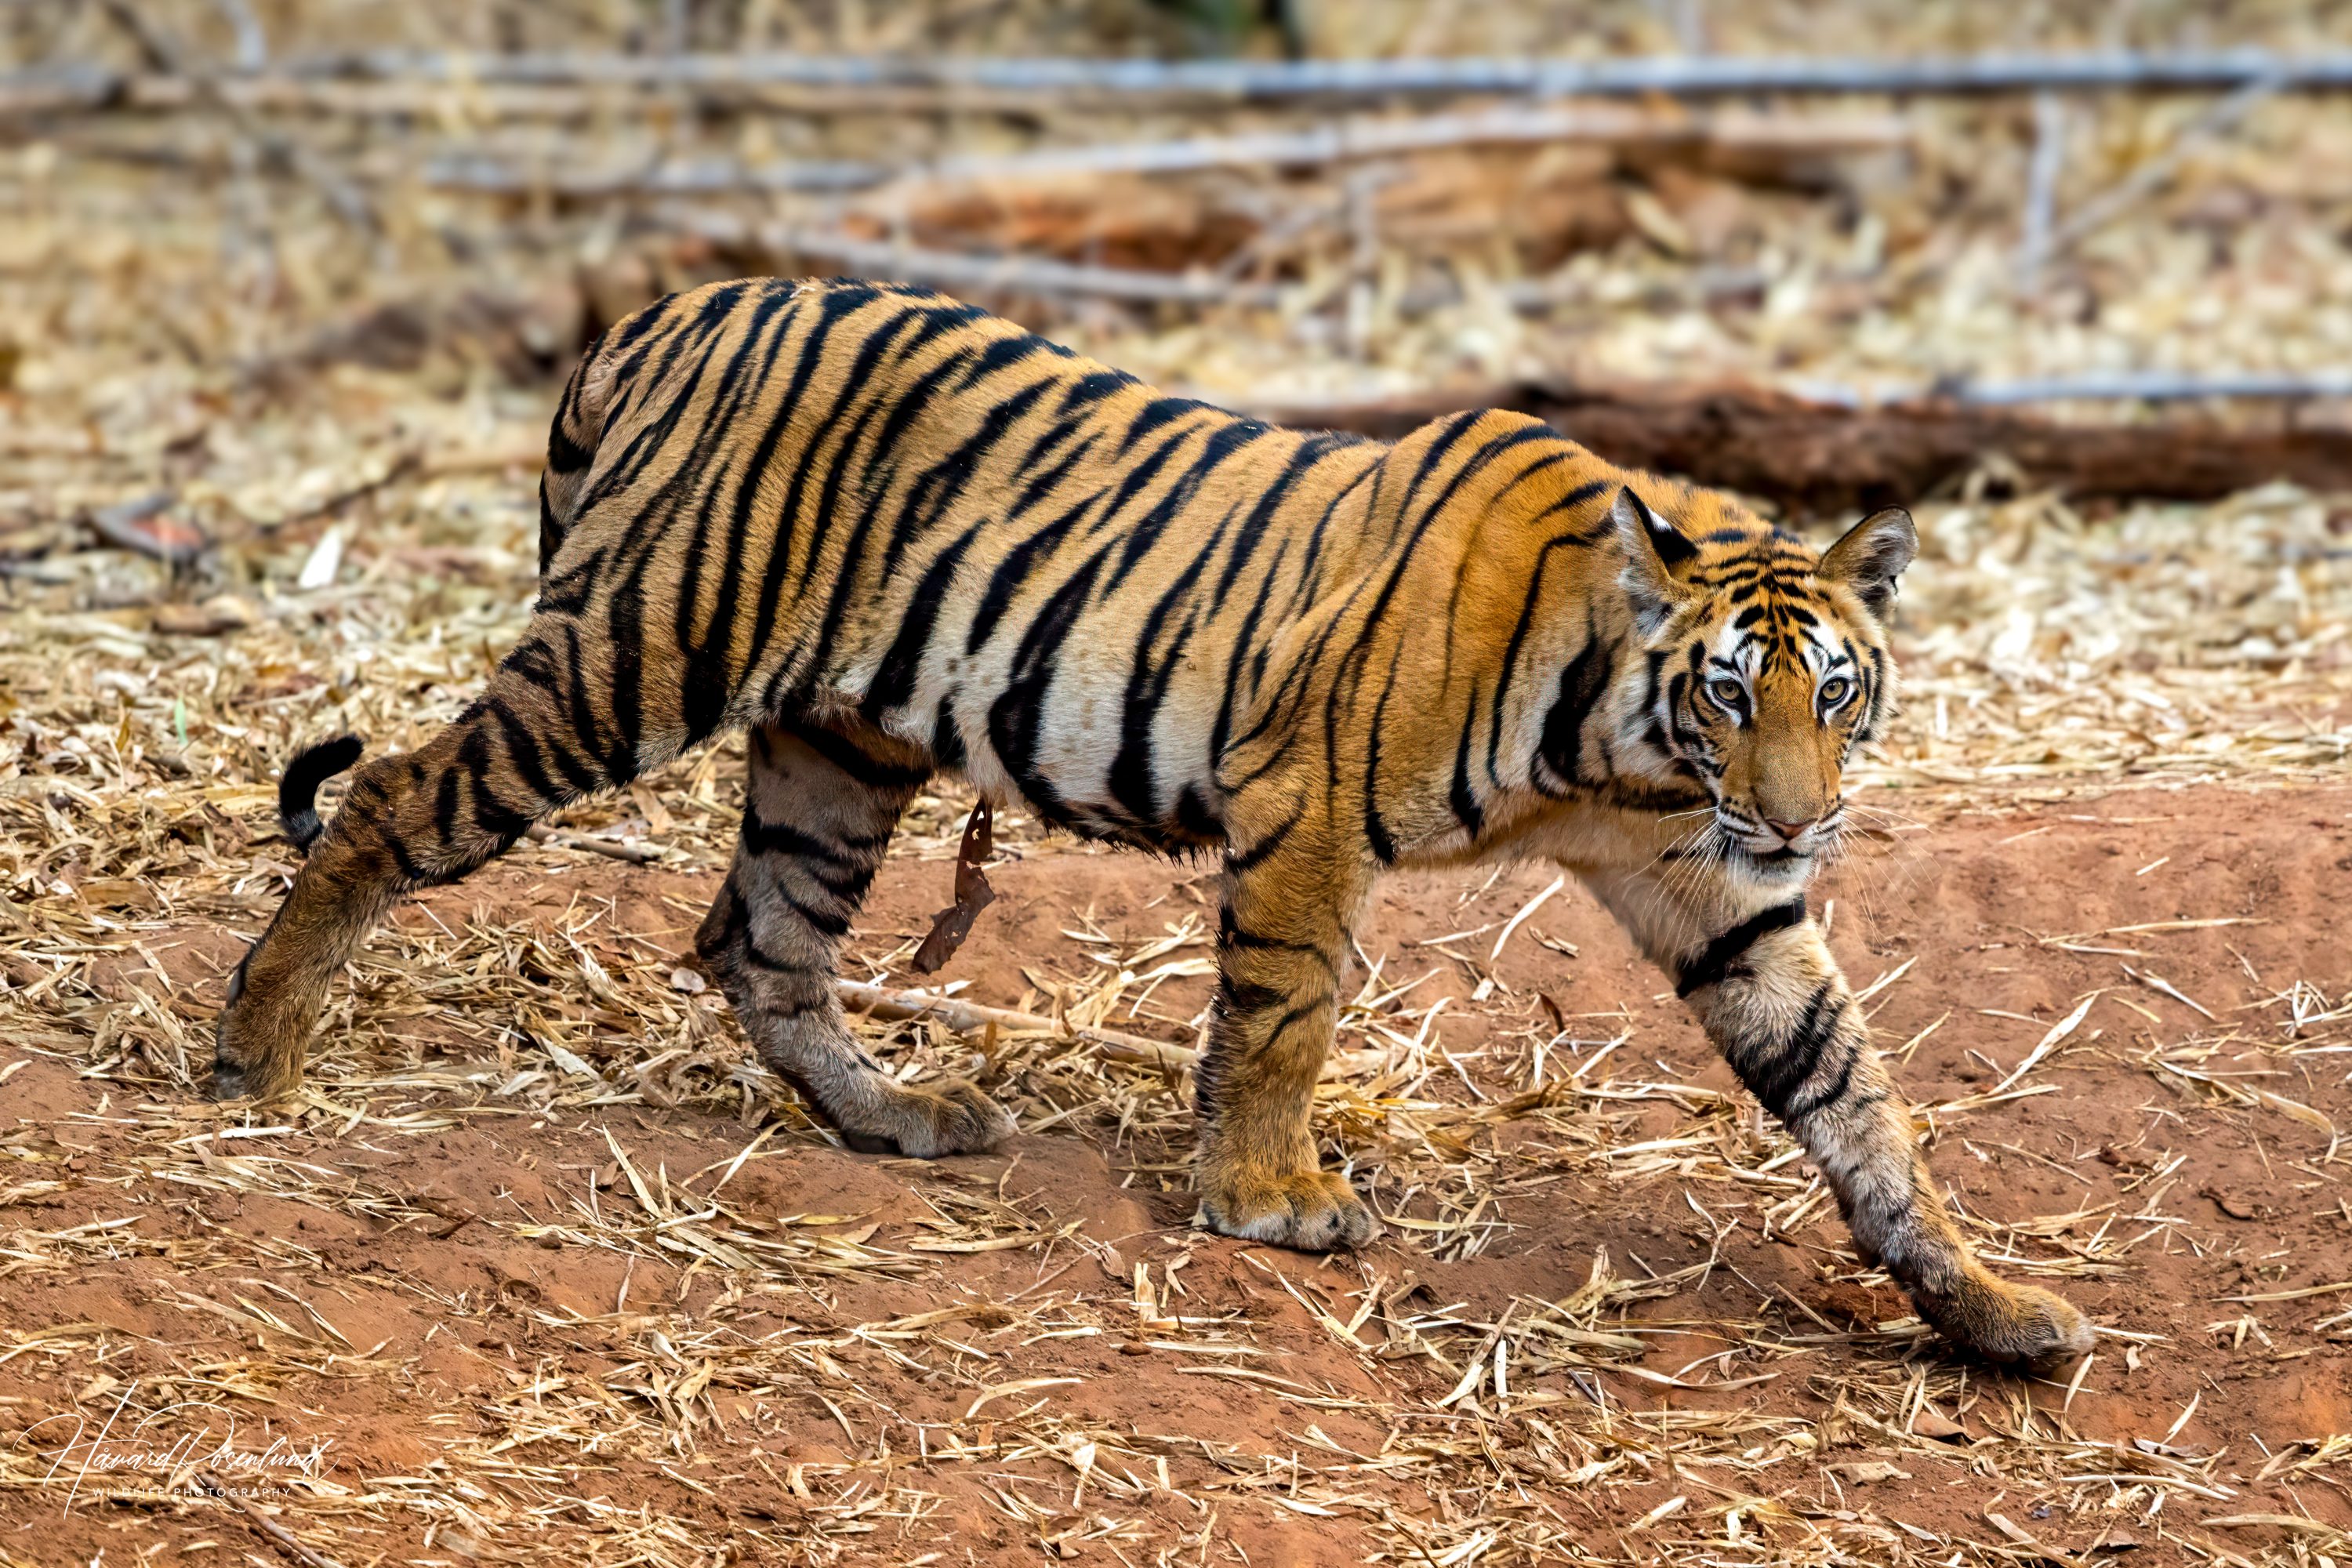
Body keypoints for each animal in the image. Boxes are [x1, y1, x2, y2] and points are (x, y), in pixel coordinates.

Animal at [217, 275, 2092, 1366]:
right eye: (1727, 694)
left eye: (1832, 694)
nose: (1798, 823)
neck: (1621, 751)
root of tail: (669, 306)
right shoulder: (1306, 800)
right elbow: (1283, 1012)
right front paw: (1269, 1199)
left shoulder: (1717, 893)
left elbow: (1854, 1095)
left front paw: (1991, 1306)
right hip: (636, 654)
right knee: (389, 797)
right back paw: (259, 1050)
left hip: (837, 745)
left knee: (757, 935)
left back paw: (898, 1121)